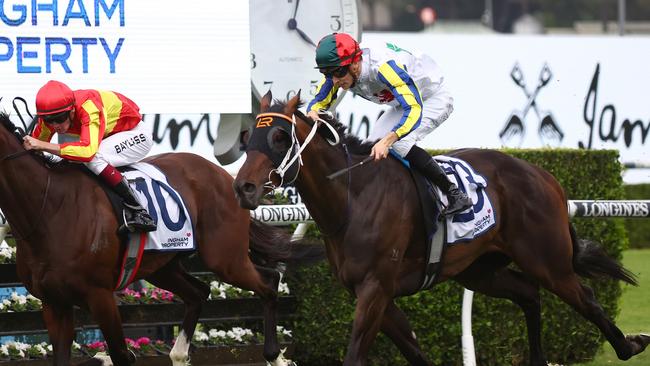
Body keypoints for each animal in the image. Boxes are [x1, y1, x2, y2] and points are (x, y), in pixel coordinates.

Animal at [0, 111, 312, 366]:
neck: (49, 209)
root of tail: (228, 177)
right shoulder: (53, 303)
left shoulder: (99, 295)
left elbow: (121, 355)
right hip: (162, 266)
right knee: (199, 292)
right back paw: (180, 354)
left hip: (224, 258)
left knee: (268, 281)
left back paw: (275, 355)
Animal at [233, 91, 648, 366]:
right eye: (247, 137)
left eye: (280, 137)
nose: (244, 187)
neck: (352, 198)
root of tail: (545, 176)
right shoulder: (373, 293)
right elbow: (414, 350)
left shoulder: (376, 287)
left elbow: (356, 354)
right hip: (480, 270)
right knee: (530, 295)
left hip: (547, 260)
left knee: (586, 297)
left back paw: (629, 345)